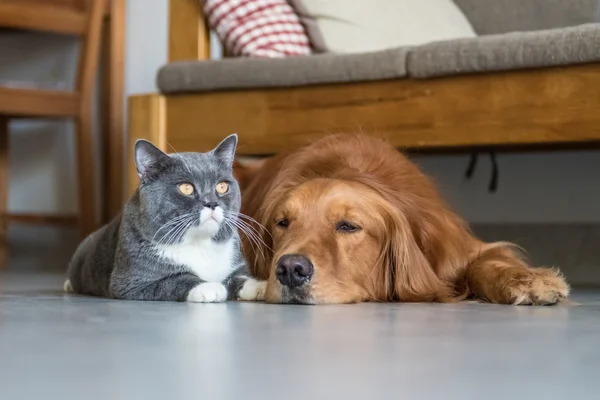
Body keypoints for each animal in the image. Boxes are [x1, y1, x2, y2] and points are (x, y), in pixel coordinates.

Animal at [62, 134, 264, 304]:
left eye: (222, 186)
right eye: (186, 188)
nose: (212, 203)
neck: (199, 243)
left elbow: (239, 277)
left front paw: (259, 286)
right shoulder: (132, 281)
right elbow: (174, 279)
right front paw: (208, 287)